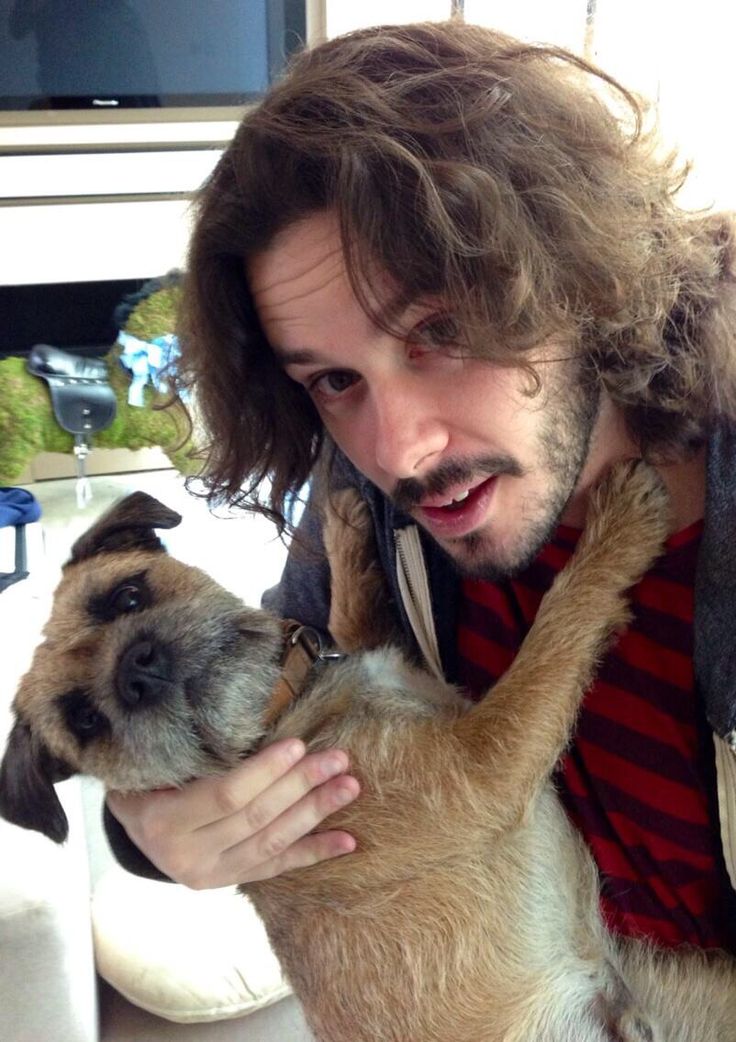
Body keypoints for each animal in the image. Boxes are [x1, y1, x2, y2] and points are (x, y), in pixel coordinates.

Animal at [1, 466, 733, 1042]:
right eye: (85, 720)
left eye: (126, 595)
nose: (137, 670)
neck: (283, 713)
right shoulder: (483, 764)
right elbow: (555, 631)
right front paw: (617, 529)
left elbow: (351, 613)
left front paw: (344, 522)